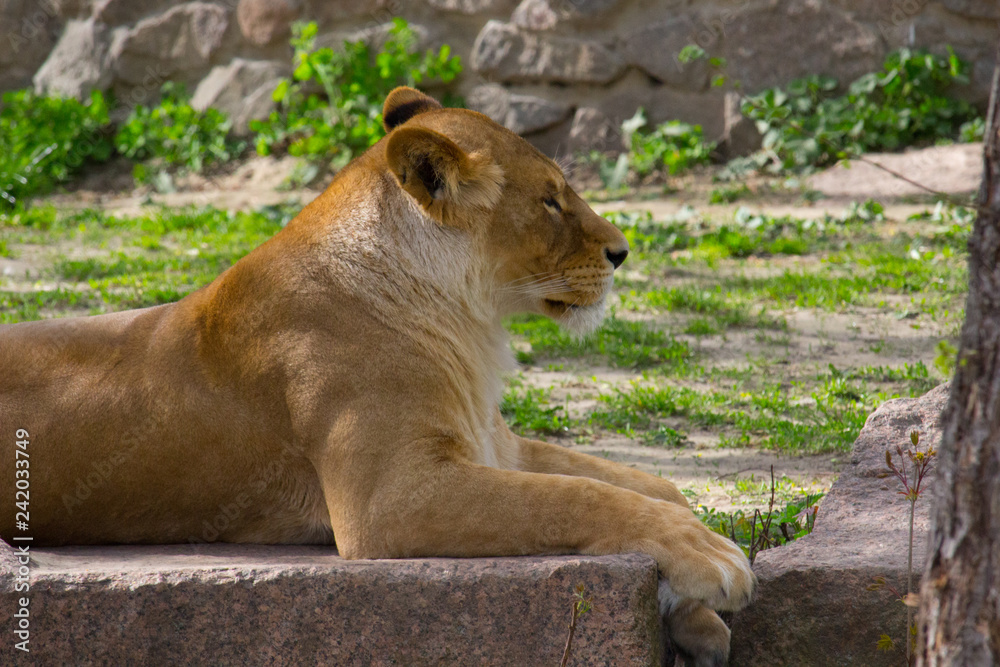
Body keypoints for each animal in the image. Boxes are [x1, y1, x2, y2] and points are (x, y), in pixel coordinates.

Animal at [0, 87, 754, 665]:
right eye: (549, 200)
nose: (623, 252)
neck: (467, 322)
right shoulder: (391, 499)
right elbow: (576, 499)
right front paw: (711, 562)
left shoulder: (494, 444)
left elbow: (653, 485)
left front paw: (693, 615)